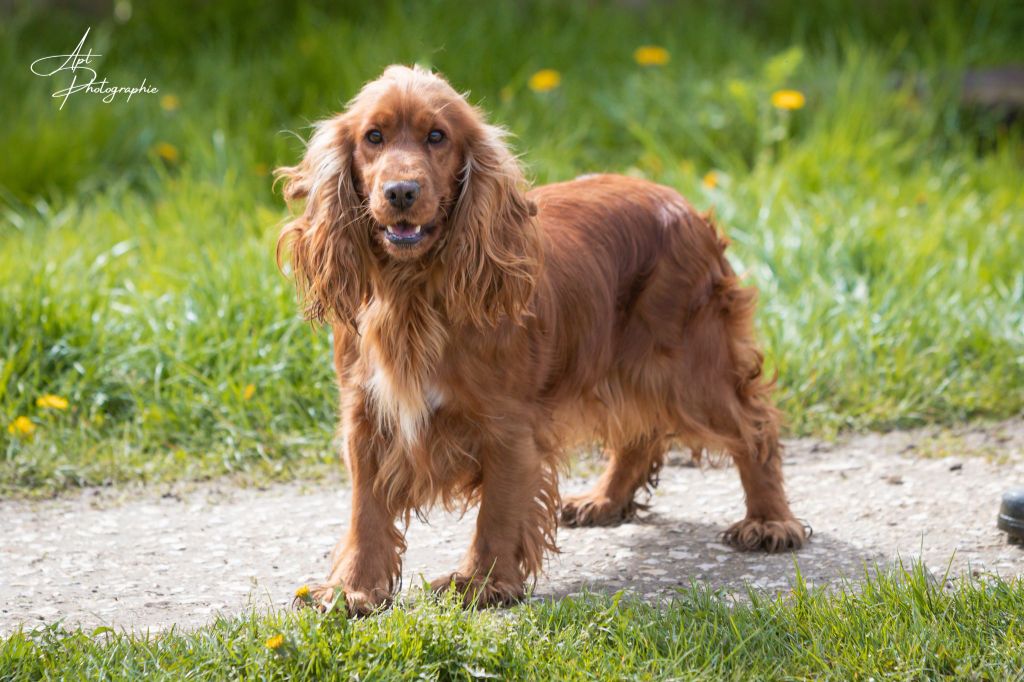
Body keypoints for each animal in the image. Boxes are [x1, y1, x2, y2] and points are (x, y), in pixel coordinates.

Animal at [280, 66, 806, 614]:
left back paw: (770, 521)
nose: (401, 191)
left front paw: (481, 583)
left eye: (437, 137)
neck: (414, 292)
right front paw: (352, 589)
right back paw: (604, 500)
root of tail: (684, 204)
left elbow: (498, 510)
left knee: (754, 426)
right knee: (640, 432)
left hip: (690, 367)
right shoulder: (365, 414)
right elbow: (365, 510)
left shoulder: (507, 423)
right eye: (373, 137)